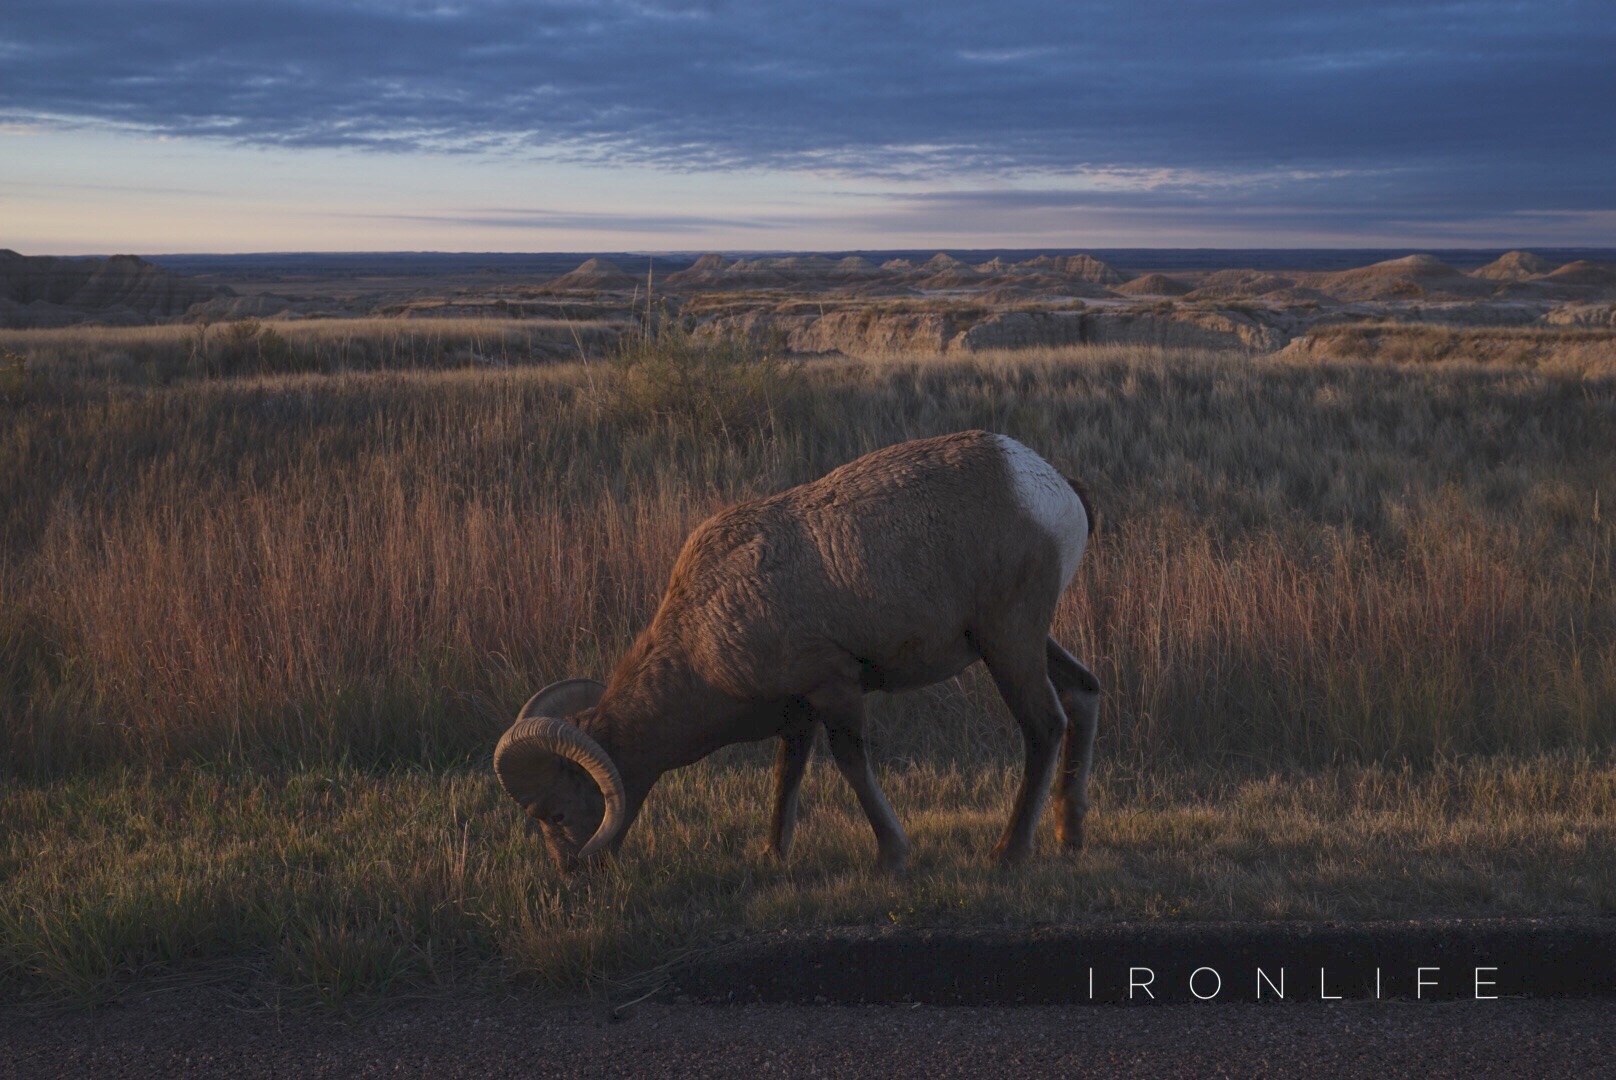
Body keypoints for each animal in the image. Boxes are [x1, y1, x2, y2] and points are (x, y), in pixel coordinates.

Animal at [491, 426, 1098, 873]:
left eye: (555, 813)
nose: (571, 874)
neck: (707, 628)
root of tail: (1053, 487)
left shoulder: (833, 688)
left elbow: (850, 765)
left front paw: (891, 856)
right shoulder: (797, 711)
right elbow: (788, 773)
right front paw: (771, 854)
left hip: (1008, 641)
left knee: (1044, 725)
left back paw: (1009, 852)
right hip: (1022, 640)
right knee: (1084, 693)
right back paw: (1069, 837)